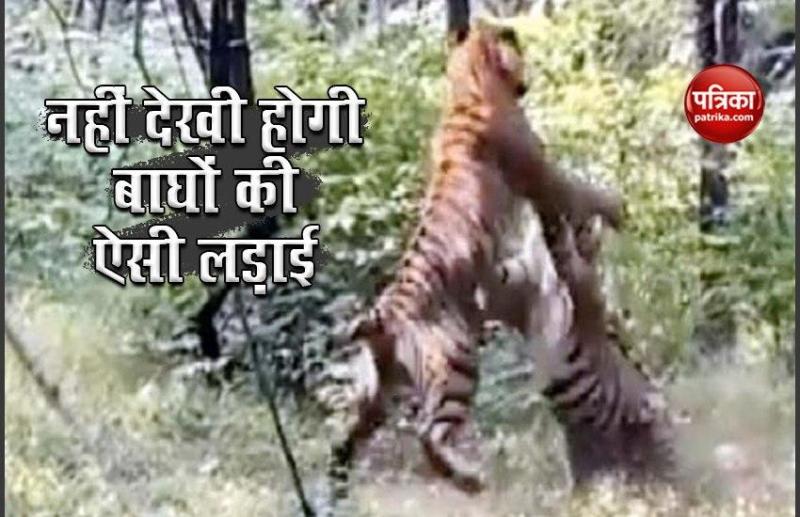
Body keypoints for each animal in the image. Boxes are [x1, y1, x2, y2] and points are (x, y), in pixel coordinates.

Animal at [323, 21, 623, 510]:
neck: (469, 85)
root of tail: (382, 318)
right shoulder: (542, 173)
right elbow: (581, 189)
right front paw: (618, 209)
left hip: (372, 395)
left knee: (343, 443)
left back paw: (336, 495)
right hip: (455, 365)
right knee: (428, 434)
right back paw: (472, 480)